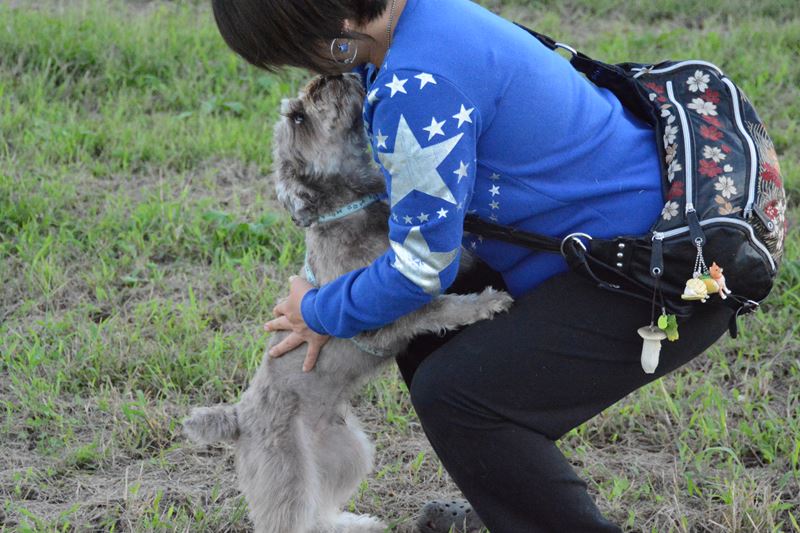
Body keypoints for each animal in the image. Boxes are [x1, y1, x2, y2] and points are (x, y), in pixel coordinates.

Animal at [183, 73, 512, 533]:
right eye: (298, 117)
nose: (327, 76)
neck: (351, 209)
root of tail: (238, 418)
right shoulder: (385, 315)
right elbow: (442, 307)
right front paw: (489, 302)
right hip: (287, 475)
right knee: (295, 519)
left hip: (349, 450)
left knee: (321, 512)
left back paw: (358, 524)